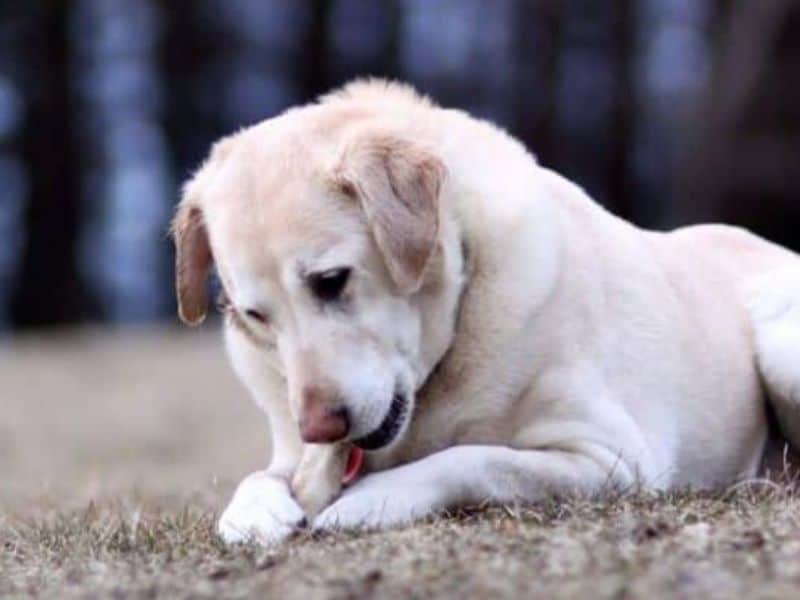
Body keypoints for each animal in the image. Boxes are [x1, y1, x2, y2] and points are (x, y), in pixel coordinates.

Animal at [172, 78, 800, 544]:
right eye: (255, 317)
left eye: (331, 281)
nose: (321, 427)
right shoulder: (291, 450)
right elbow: (258, 478)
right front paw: (254, 513)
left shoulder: (612, 459)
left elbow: (473, 458)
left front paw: (373, 501)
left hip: (777, 345)